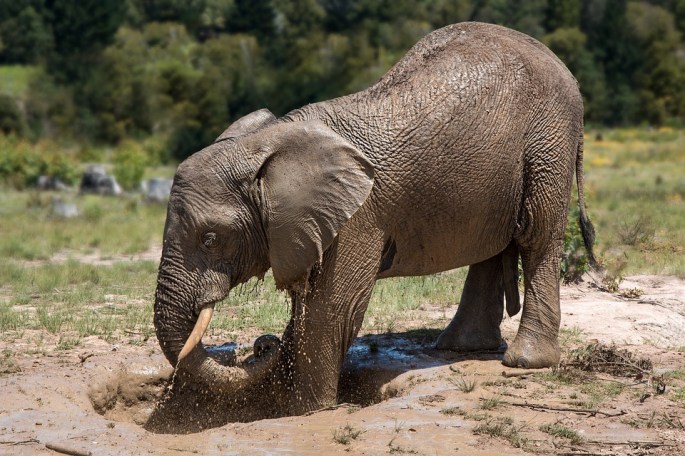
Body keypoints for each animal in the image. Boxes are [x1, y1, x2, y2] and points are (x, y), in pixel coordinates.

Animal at [154, 21, 596, 416]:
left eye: (211, 238)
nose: (260, 343)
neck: (268, 143)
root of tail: (565, 69)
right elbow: (308, 306)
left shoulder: (358, 216)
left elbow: (331, 309)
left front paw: (306, 411)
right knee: (491, 247)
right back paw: (459, 347)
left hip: (549, 140)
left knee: (537, 235)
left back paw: (524, 361)